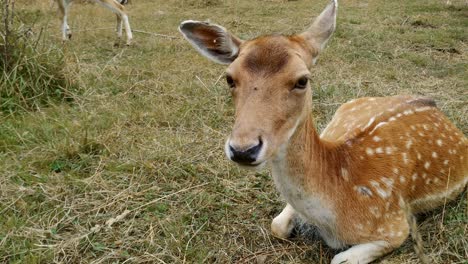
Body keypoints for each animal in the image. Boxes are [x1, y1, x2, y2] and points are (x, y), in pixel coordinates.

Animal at [179, 0, 468, 262]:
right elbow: (277, 225)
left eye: (302, 80)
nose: (243, 149)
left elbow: (338, 259)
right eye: (229, 78)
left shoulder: (395, 226)